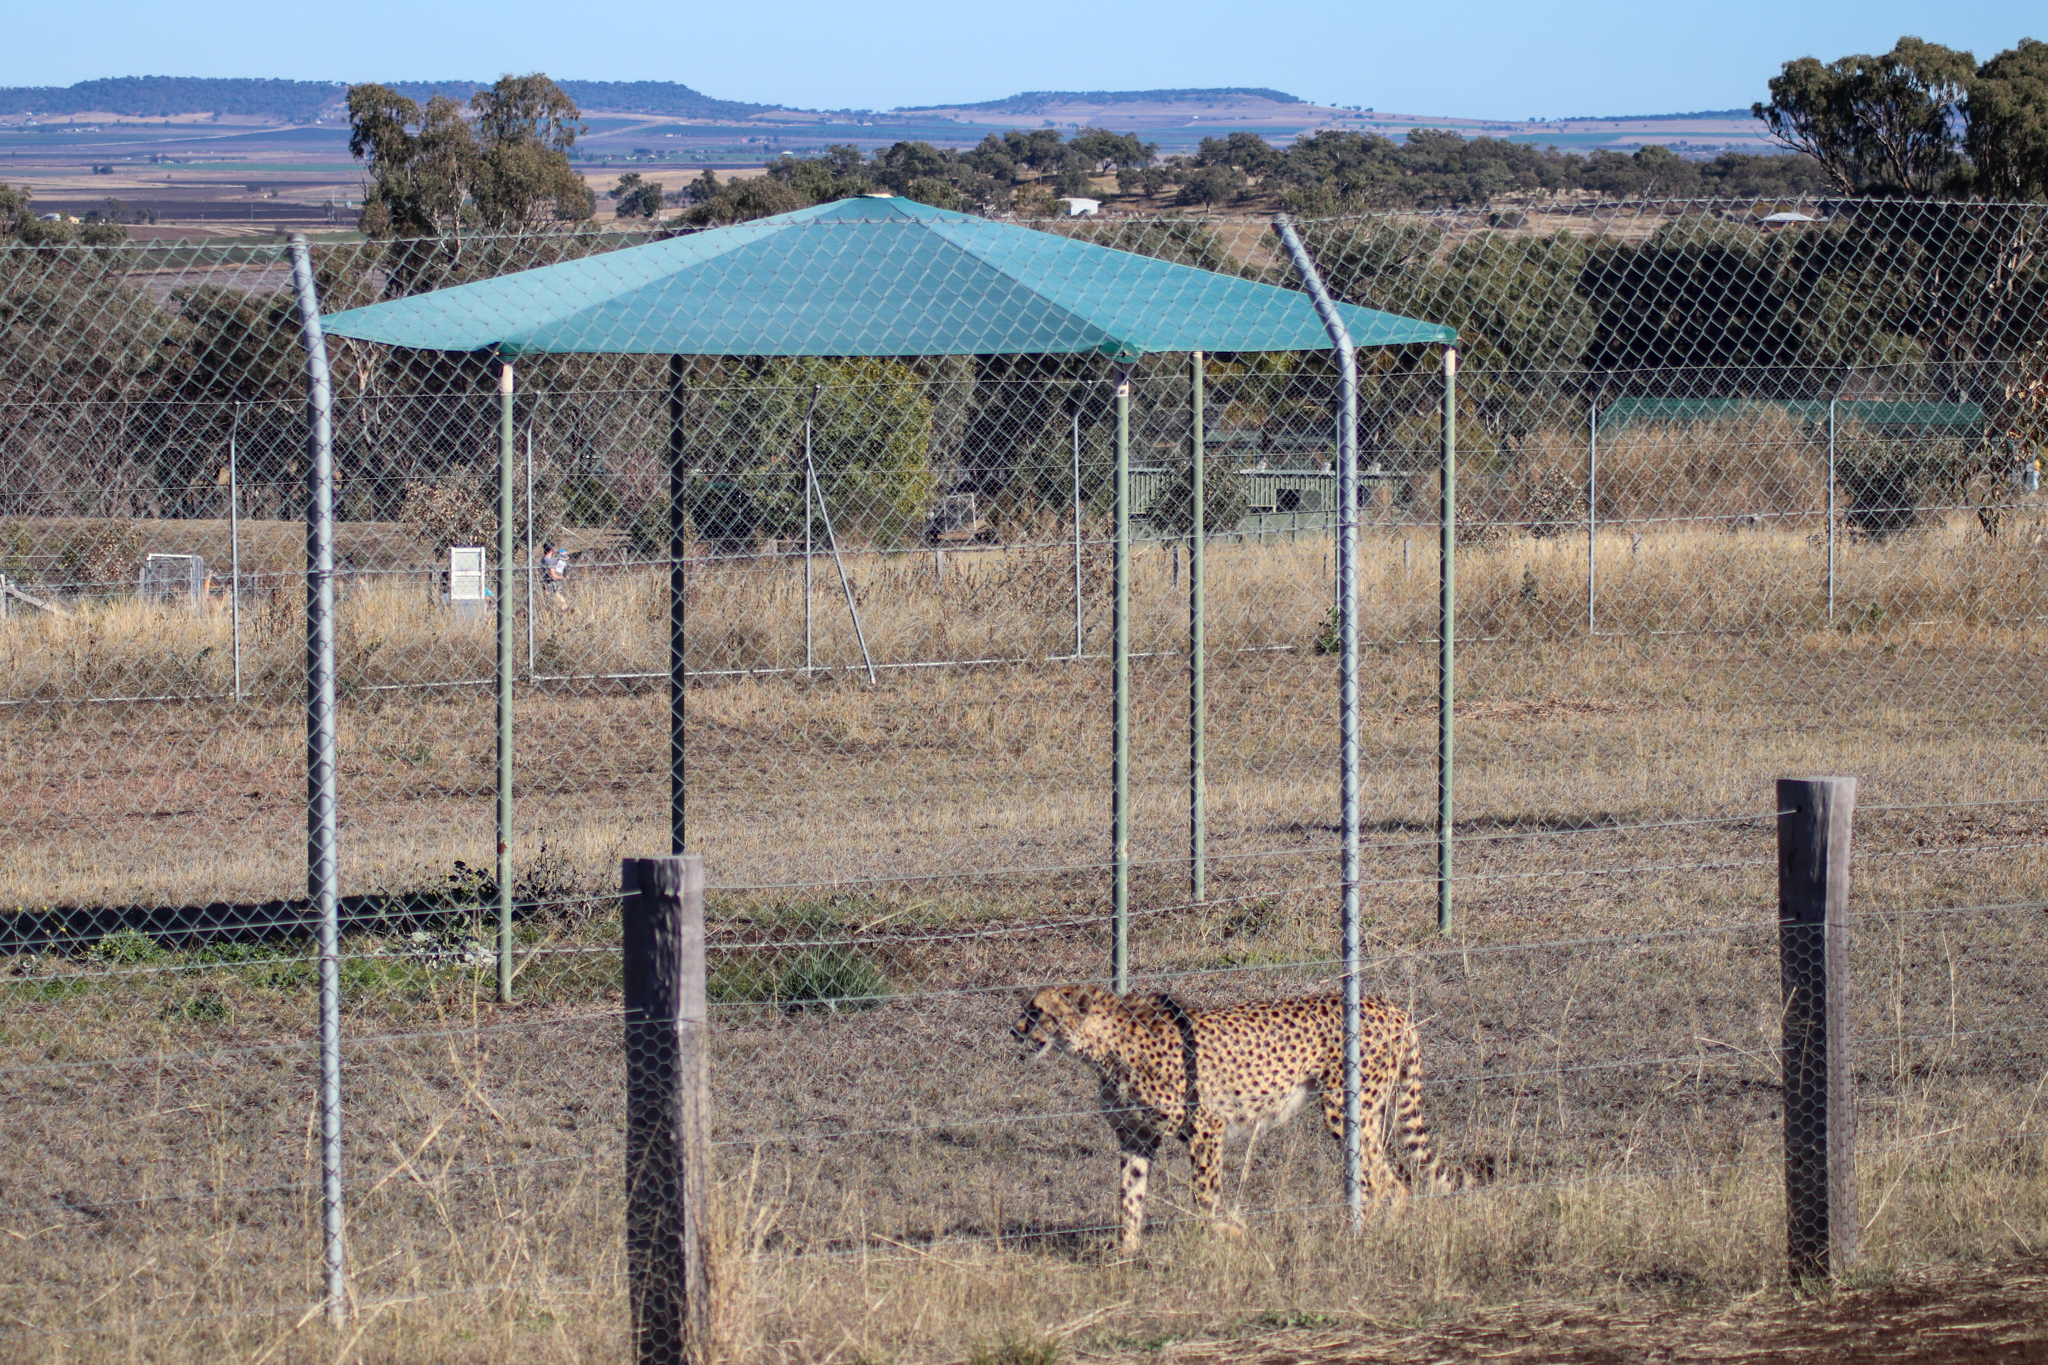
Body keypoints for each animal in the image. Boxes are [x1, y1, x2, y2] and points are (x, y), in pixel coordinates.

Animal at [1012, 983, 1457, 1251]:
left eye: (1037, 1012)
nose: (1014, 1029)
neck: (1103, 1046)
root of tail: (1390, 1005)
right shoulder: (1135, 1136)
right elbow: (1129, 1197)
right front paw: (1126, 1255)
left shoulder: (1206, 1127)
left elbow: (1203, 1195)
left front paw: (1222, 1234)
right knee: (1391, 1179)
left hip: (1347, 1110)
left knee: (1387, 1183)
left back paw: (1371, 1237)